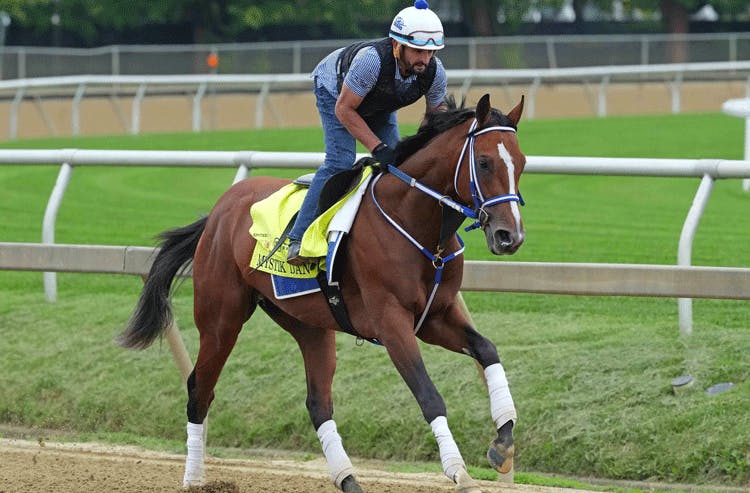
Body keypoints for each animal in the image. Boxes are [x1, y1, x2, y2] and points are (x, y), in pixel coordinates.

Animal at [119, 93, 528, 492]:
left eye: (521, 163)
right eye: (485, 162)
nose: (510, 236)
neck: (416, 224)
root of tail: (219, 210)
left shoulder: (435, 317)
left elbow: (487, 350)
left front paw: (503, 442)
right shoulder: (391, 321)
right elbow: (428, 394)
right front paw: (458, 470)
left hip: (309, 324)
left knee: (318, 403)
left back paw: (347, 478)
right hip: (221, 318)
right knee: (199, 388)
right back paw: (193, 478)